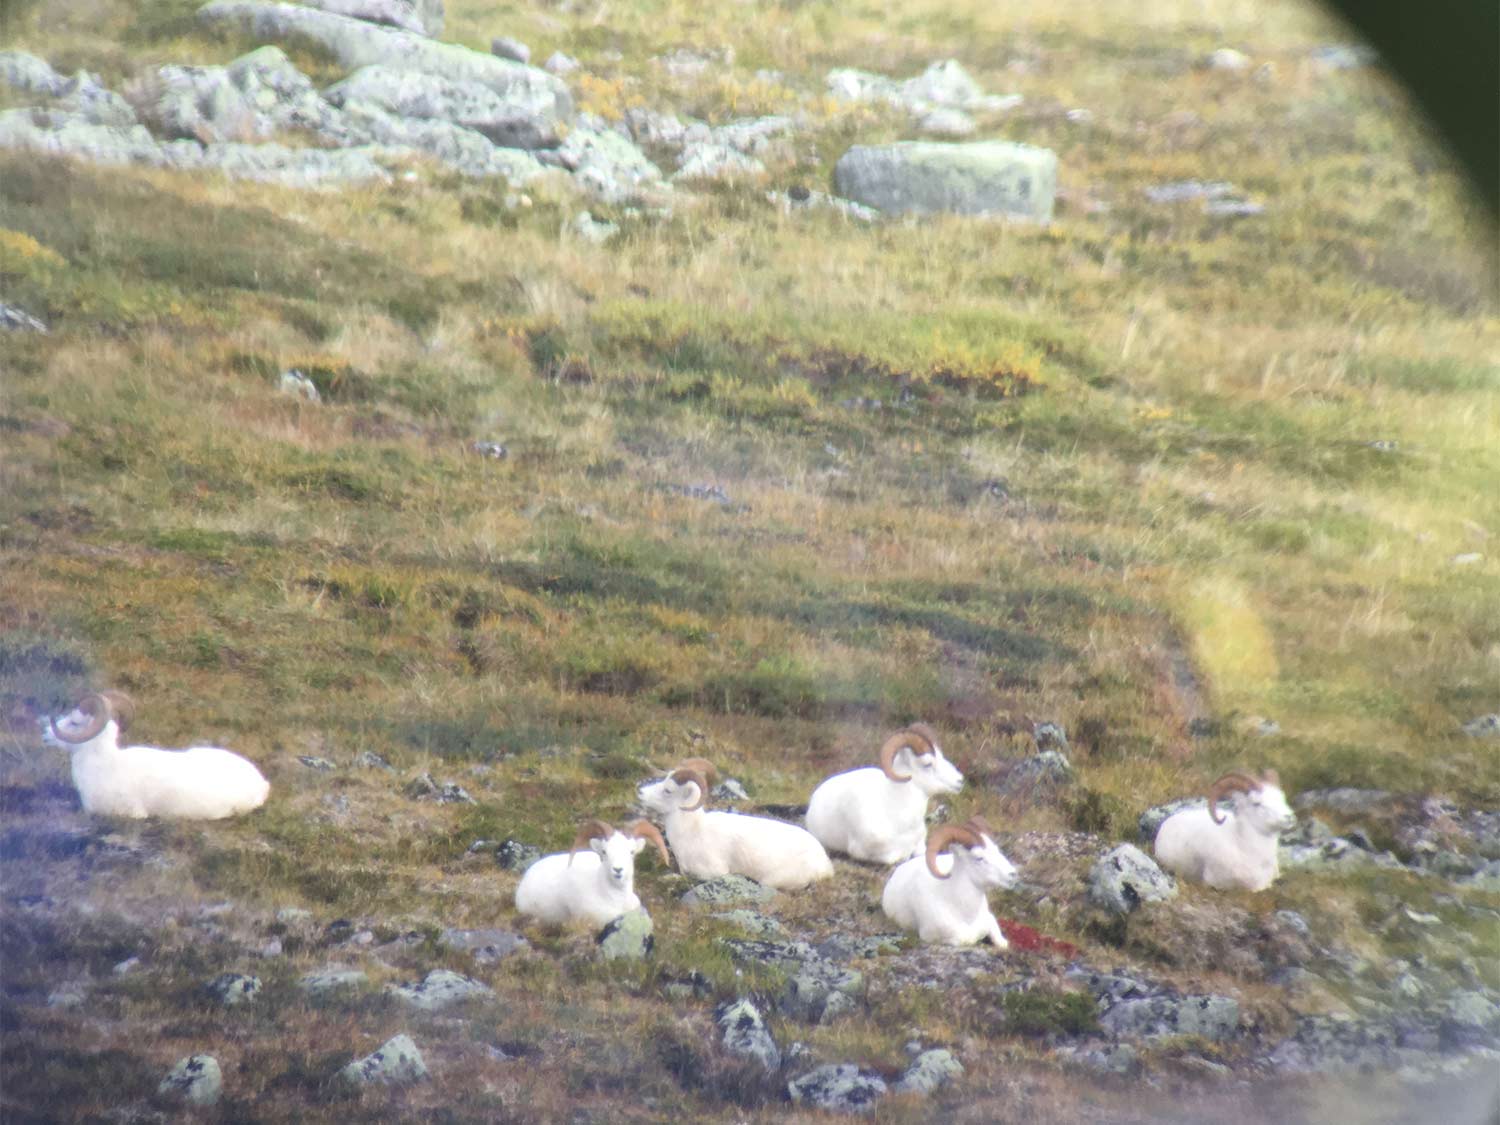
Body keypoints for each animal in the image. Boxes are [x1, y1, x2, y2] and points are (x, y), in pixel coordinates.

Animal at [635, 759, 833, 890]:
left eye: (668, 790)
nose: (640, 793)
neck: (692, 831)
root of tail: (824, 865)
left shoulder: (714, 872)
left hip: (772, 881)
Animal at [881, 817, 1018, 949]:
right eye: (979, 857)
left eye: (996, 849)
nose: (1012, 874)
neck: (966, 913)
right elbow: (967, 938)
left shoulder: (989, 919)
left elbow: (1001, 941)